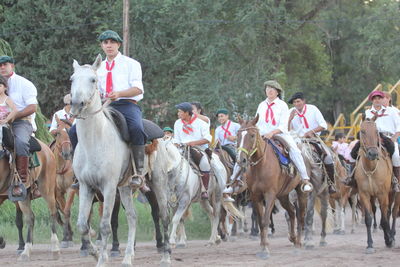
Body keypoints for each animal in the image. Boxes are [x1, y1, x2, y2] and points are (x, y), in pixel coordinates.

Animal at [69, 55, 137, 267]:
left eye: (93, 79)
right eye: (72, 79)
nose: (76, 104)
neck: (94, 143)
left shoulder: (108, 187)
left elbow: (105, 225)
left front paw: (101, 260)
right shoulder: (85, 186)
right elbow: (82, 225)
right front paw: (94, 252)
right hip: (125, 188)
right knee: (132, 218)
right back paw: (128, 258)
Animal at [236, 115, 308, 260]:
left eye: (252, 135)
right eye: (238, 135)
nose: (241, 160)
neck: (261, 165)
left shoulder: (269, 195)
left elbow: (265, 221)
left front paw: (265, 249)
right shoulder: (255, 196)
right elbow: (260, 221)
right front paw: (262, 247)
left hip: (300, 193)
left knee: (301, 215)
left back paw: (298, 244)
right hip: (283, 195)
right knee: (292, 211)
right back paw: (292, 238)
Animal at [354, 118, 392, 253]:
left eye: (376, 131)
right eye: (362, 131)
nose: (373, 154)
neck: (370, 169)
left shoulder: (383, 195)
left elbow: (385, 219)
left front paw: (389, 240)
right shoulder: (364, 195)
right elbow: (368, 219)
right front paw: (370, 245)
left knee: (389, 212)